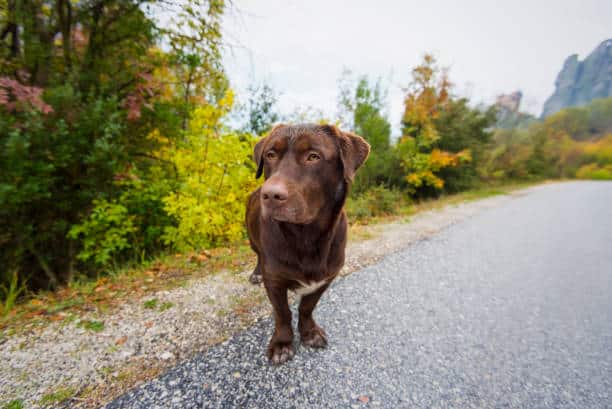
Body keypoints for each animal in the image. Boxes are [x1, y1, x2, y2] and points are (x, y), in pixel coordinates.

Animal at [244, 122, 368, 364]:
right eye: (270, 155)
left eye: (313, 156)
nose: (270, 195)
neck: (306, 235)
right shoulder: (274, 280)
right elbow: (282, 313)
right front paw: (282, 343)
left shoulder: (326, 277)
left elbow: (307, 307)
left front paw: (309, 333)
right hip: (251, 239)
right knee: (257, 255)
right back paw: (256, 273)